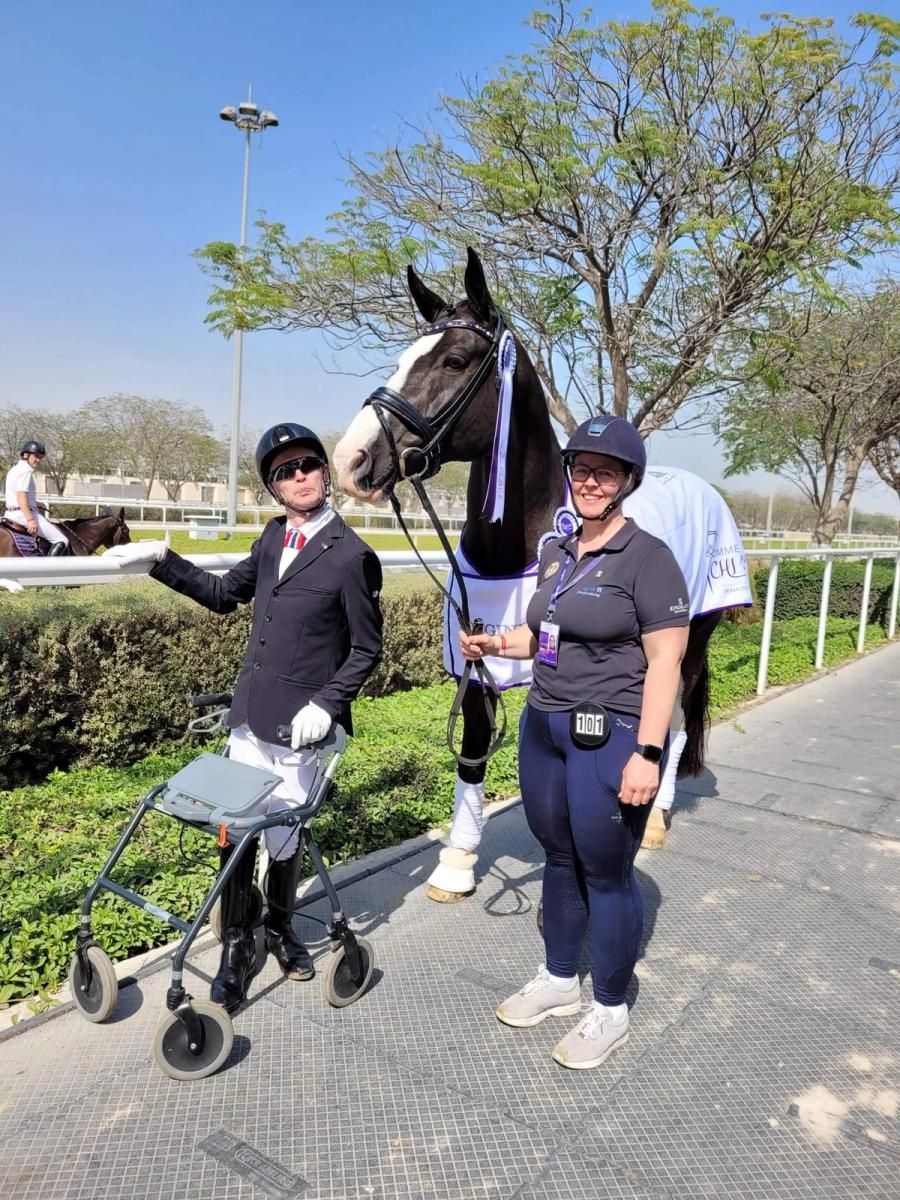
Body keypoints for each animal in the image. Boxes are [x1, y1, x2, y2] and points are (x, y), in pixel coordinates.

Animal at [334, 248, 750, 900]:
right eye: (400, 359)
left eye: (454, 359)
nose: (350, 460)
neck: (522, 545)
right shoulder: (480, 660)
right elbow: (475, 750)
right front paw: (458, 861)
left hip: (691, 641)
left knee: (677, 718)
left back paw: (656, 818)